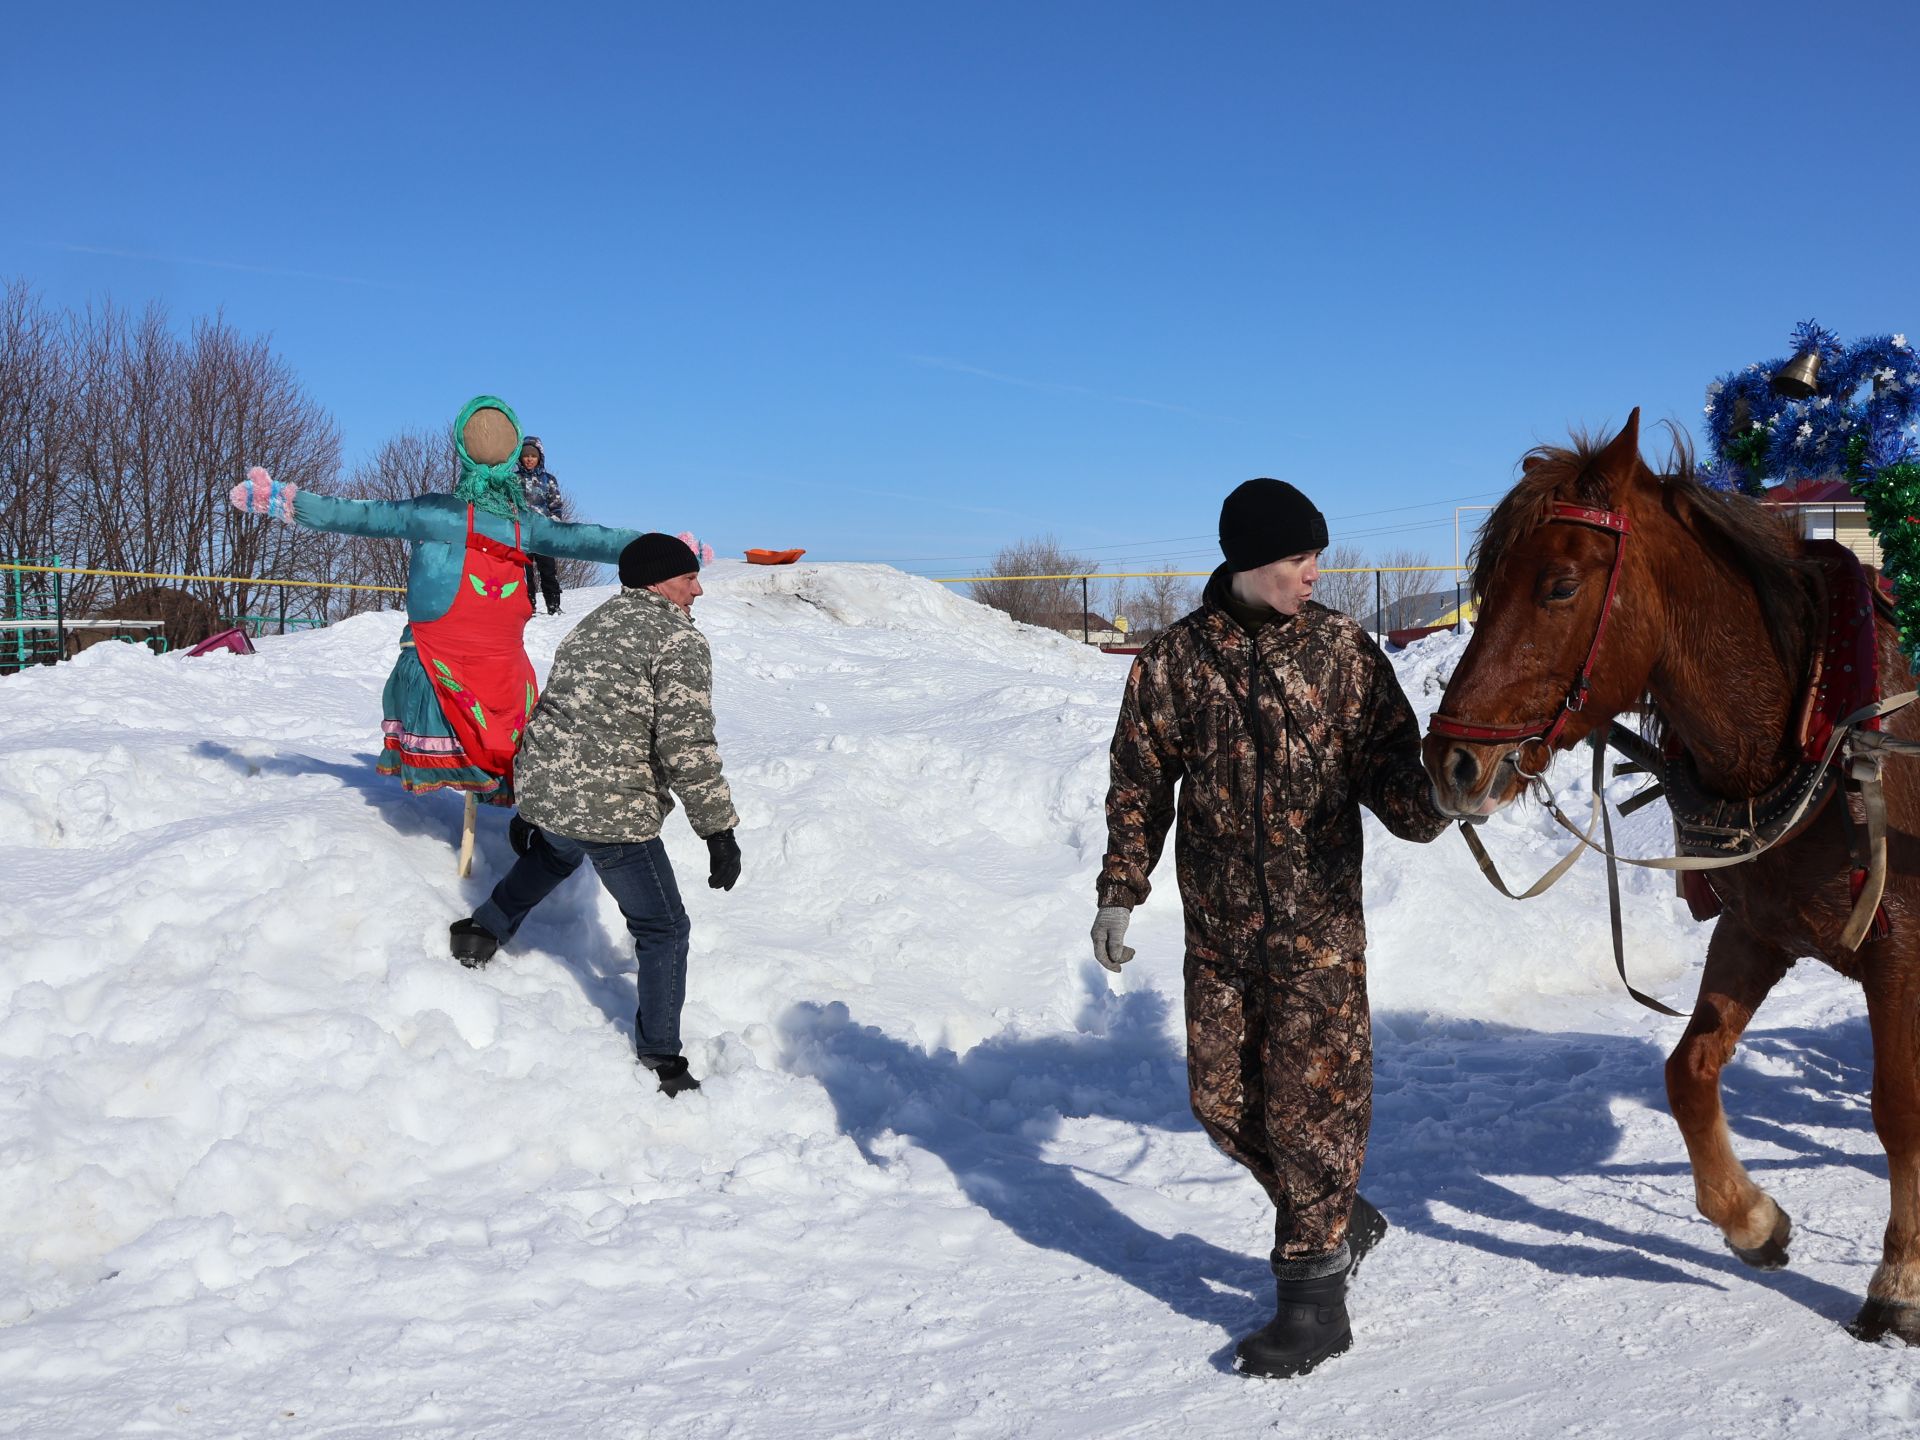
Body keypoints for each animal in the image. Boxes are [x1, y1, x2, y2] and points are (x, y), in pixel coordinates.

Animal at [1420, 410, 1920, 1351]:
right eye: (1484, 585)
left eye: (1559, 586)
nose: (1453, 764)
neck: (1823, 734)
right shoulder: (1757, 929)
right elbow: (1688, 1071)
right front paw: (1752, 1220)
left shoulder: (1901, 950)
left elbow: (1899, 1105)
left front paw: (1901, 1278)